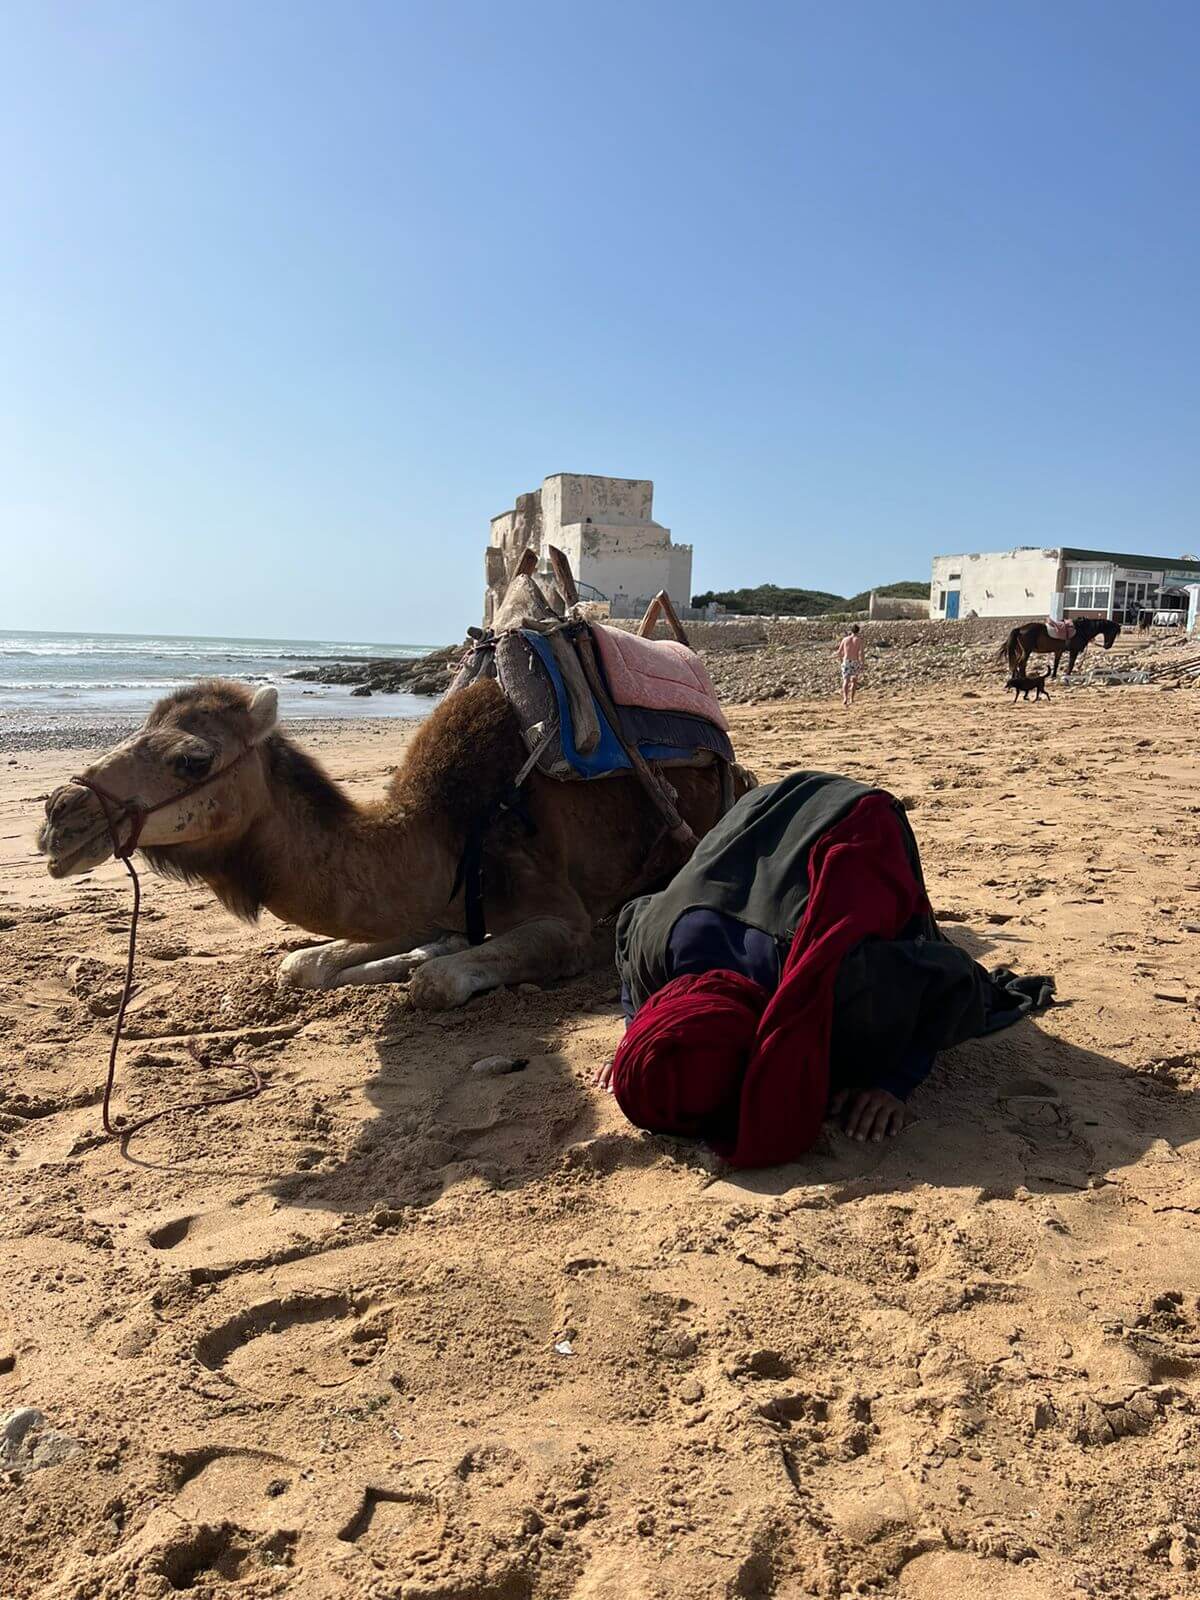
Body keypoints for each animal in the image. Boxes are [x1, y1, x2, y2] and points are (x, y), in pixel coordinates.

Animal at [37, 677, 750, 1009]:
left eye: (193, 759)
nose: (60, 814)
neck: (442, 831)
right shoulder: (425, 903)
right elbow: (302, 965)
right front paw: (397, 957)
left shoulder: (563, 917)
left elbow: (434, 982)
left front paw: (422, 965)